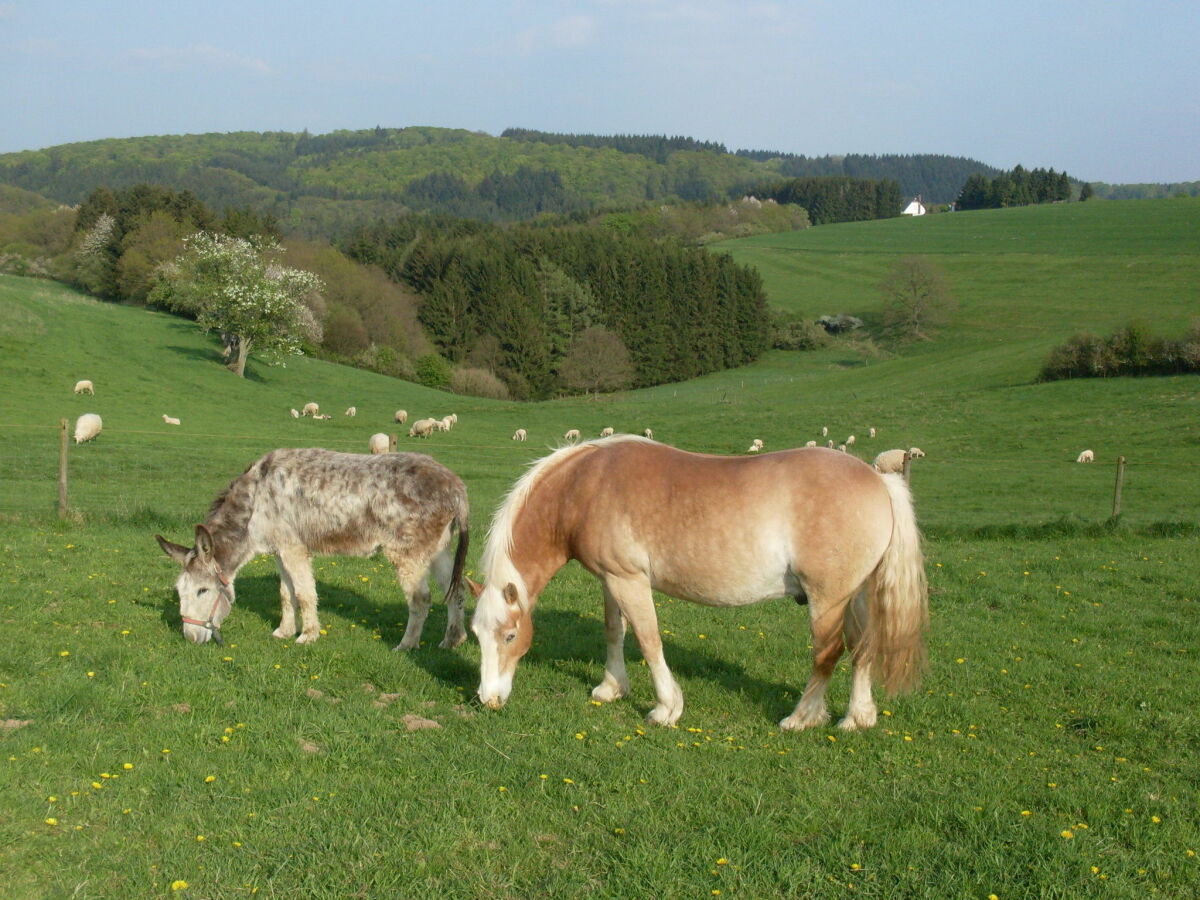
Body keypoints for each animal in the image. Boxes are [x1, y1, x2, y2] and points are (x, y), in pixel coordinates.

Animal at [151, 448, 468, 648]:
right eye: (179, 592)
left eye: (202, 591)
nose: (190, 638)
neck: (255, 501)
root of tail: (456, 486)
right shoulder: (280, 551)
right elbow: (285, 594)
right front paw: (284, 631)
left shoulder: (294, 550)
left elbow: (304, 594)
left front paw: (308, 636)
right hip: (438, 550)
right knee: (455, 590)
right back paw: (452, 640)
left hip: (408, 554)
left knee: (421, 599)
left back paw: (406, 645)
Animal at [468, 439, 926, 734]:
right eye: (475, 635)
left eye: (509, 635)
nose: (487, 699)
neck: (584, 487)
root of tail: (879, 480)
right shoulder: (611, 580)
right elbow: (615, 631)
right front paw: (611, 688)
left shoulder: (629, 581)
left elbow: (649, 639)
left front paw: (666, 709)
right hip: (856, 594)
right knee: (863, 647)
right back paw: (856, 717)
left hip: (827, 598)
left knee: (827, 654)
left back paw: (800, 718)